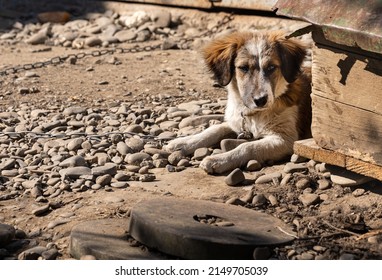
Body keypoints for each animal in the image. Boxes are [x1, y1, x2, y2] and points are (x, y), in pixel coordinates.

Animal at [166, 31, 312, 174]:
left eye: (271, 67)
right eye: (243, 68)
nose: (260, 100)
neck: (254, 114)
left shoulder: (286, 139)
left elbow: (247, 146)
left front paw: (219, 160)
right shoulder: (236, 121)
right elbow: (214, 129)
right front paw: (182, 142)